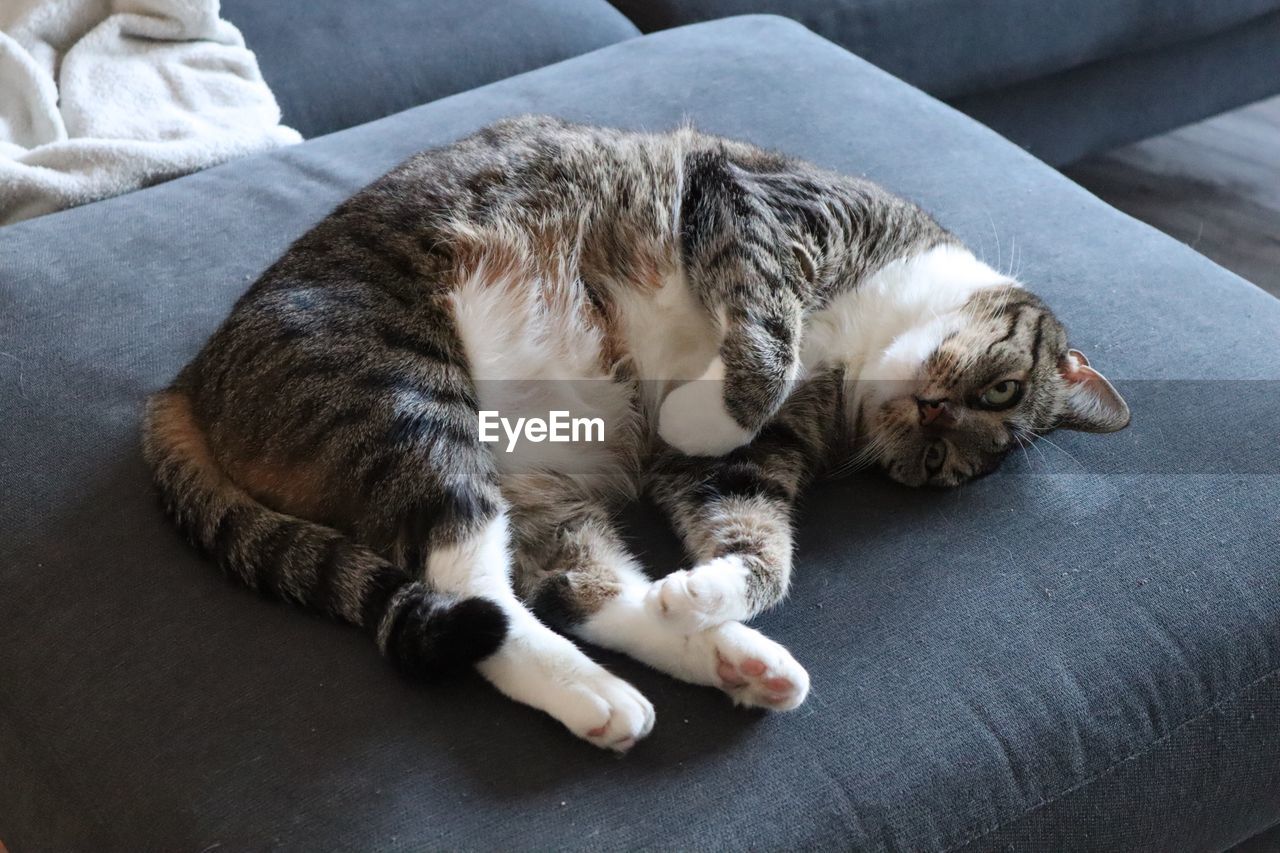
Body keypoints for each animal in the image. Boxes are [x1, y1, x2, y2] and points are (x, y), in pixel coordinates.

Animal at [142, 114, 1131, 753]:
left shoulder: (746, 464)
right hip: (400, 391)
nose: (928, 414)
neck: (858, 346)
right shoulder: (760, 206)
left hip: (530, 480)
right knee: (470, 584)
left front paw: (705, 593)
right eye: (1002, 388)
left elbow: (759, 544)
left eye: (932, 462)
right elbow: (766, 333)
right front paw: (706, 402)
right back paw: (598, 687)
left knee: (565, 588)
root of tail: (187, 380)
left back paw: (724, 656)